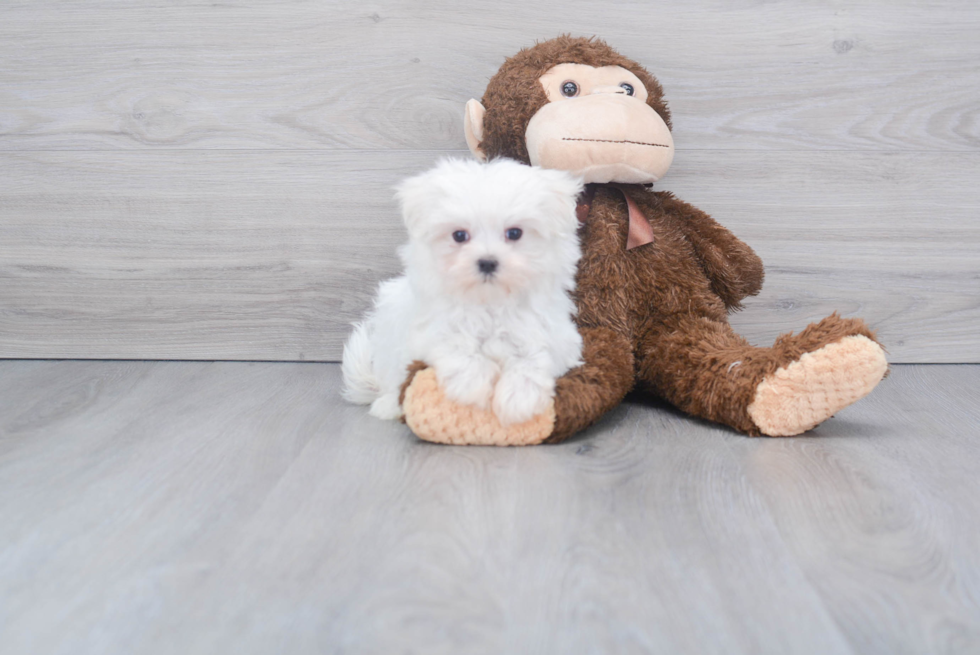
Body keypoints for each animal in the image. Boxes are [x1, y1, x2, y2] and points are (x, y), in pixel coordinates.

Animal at [340, 157, 580, 428]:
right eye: (459, 235)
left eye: (514, 233)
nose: (487, 262)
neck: (489, 301)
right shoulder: (430, 330)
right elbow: (455, 344)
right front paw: (473, 386)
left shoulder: (556, 336)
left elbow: (535, 356)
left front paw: (519, 398)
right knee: (393, 379)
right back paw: (387, 405)